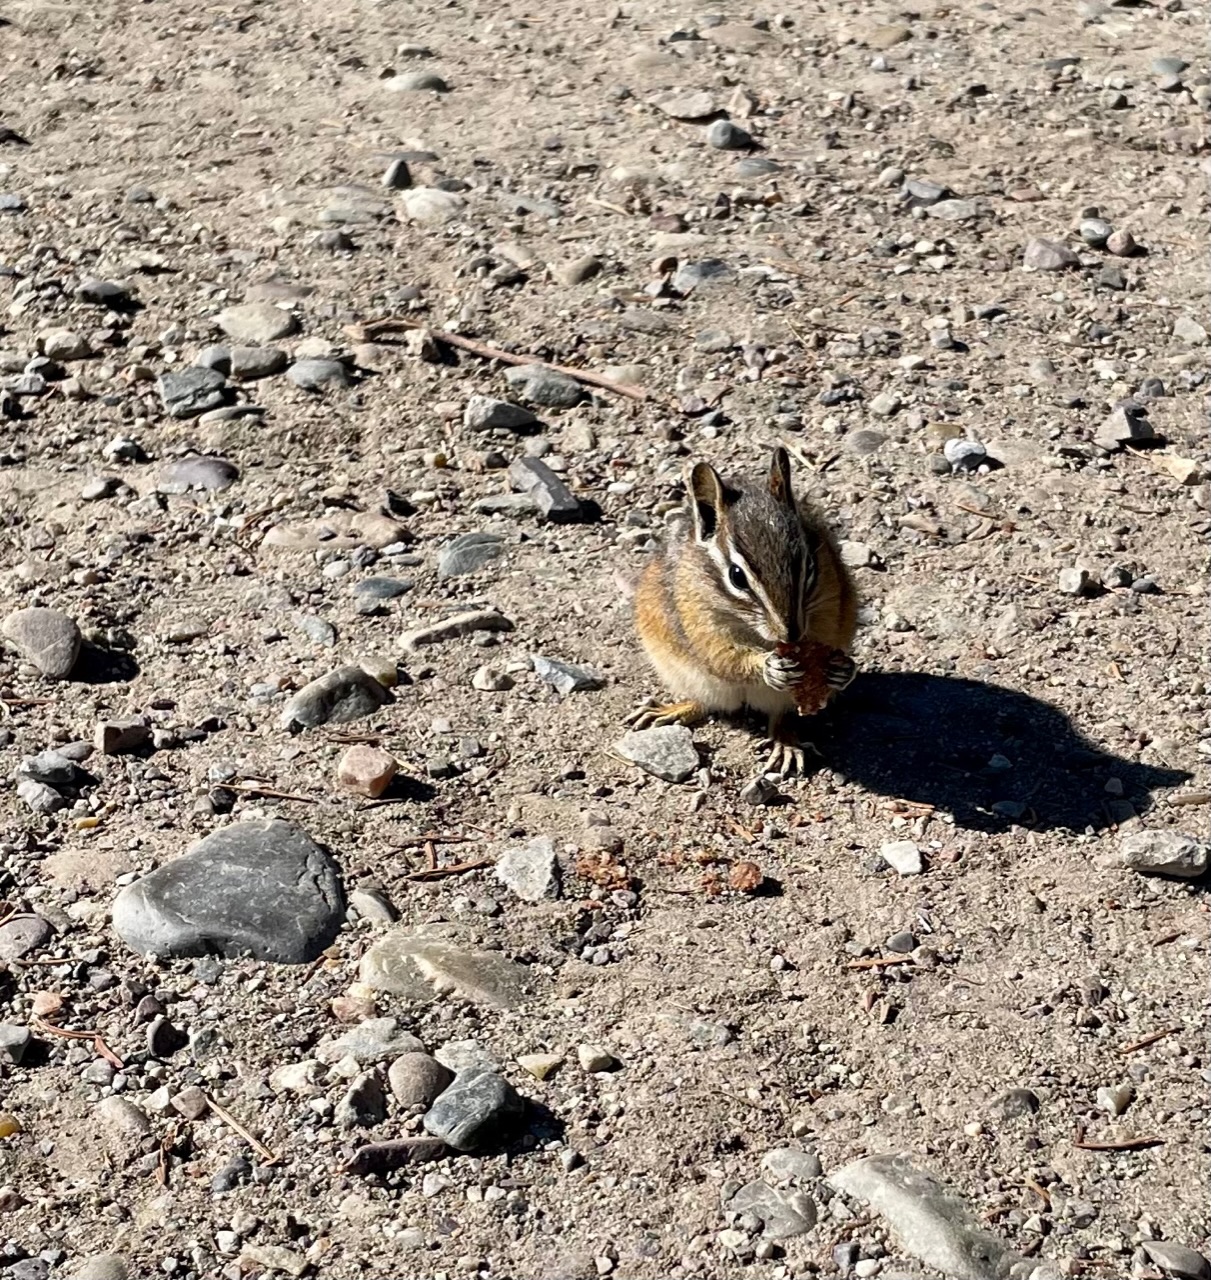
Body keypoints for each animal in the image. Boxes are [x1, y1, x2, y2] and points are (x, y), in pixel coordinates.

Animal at [628, 445, 858, 776]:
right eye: (737, 576)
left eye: (811, 567)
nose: (791, 633)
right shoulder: (699, 622)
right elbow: (724, 657)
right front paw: (767, 666)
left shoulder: (832, 605)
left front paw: (842, 669)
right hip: (687, 676)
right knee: (703, 703)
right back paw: (668, 711)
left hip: (780, 699)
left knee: (780, 718)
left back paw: (786, 745)